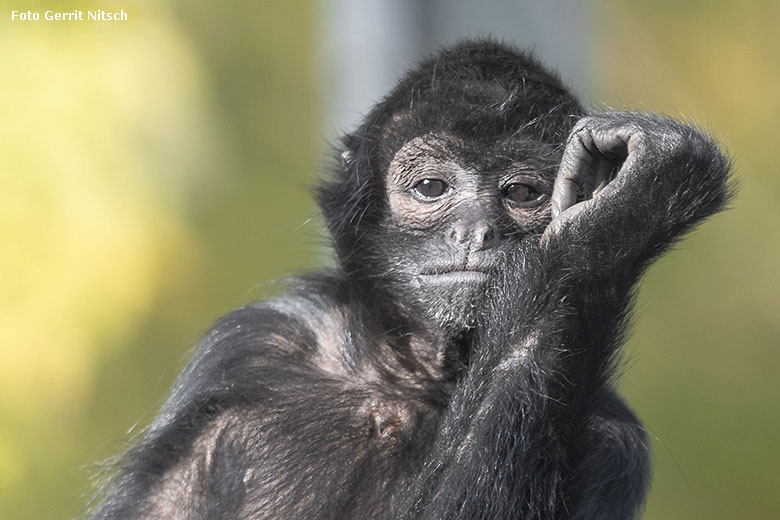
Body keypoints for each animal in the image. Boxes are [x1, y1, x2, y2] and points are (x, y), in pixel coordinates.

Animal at [88, 38, 736, 516]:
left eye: (524, 193)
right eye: (431, 187)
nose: (476, 230)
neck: (415, 384)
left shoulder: (615, 440)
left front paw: (622, 214)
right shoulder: (255, 352)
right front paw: (614, 220)